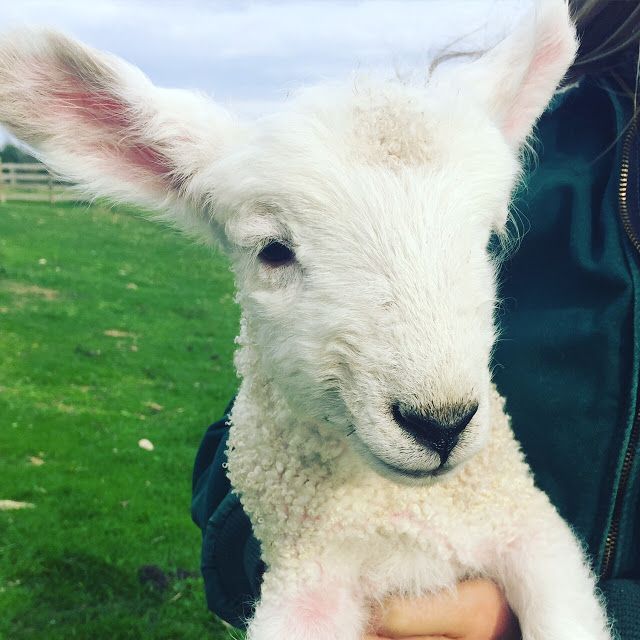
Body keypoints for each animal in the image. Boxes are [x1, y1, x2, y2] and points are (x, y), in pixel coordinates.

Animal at [0, 1, 612, 640]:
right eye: (273, 251)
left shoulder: (531, 532)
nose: (439, 423)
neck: (402, 516)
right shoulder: (309, 577)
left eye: (491, 241)